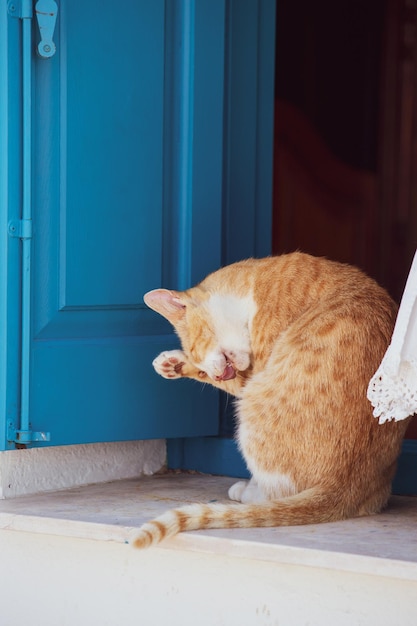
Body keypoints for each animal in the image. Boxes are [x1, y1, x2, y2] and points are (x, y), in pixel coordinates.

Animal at [132, 254, 410, 544]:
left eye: (197, 347)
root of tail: (344, 487)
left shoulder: (257, 368)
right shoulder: (246, 372)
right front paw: (173, 363)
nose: (217, 374)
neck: (252, 287)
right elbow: (225, 377)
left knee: (278, 494)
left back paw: (249, 492)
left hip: (252, 409)